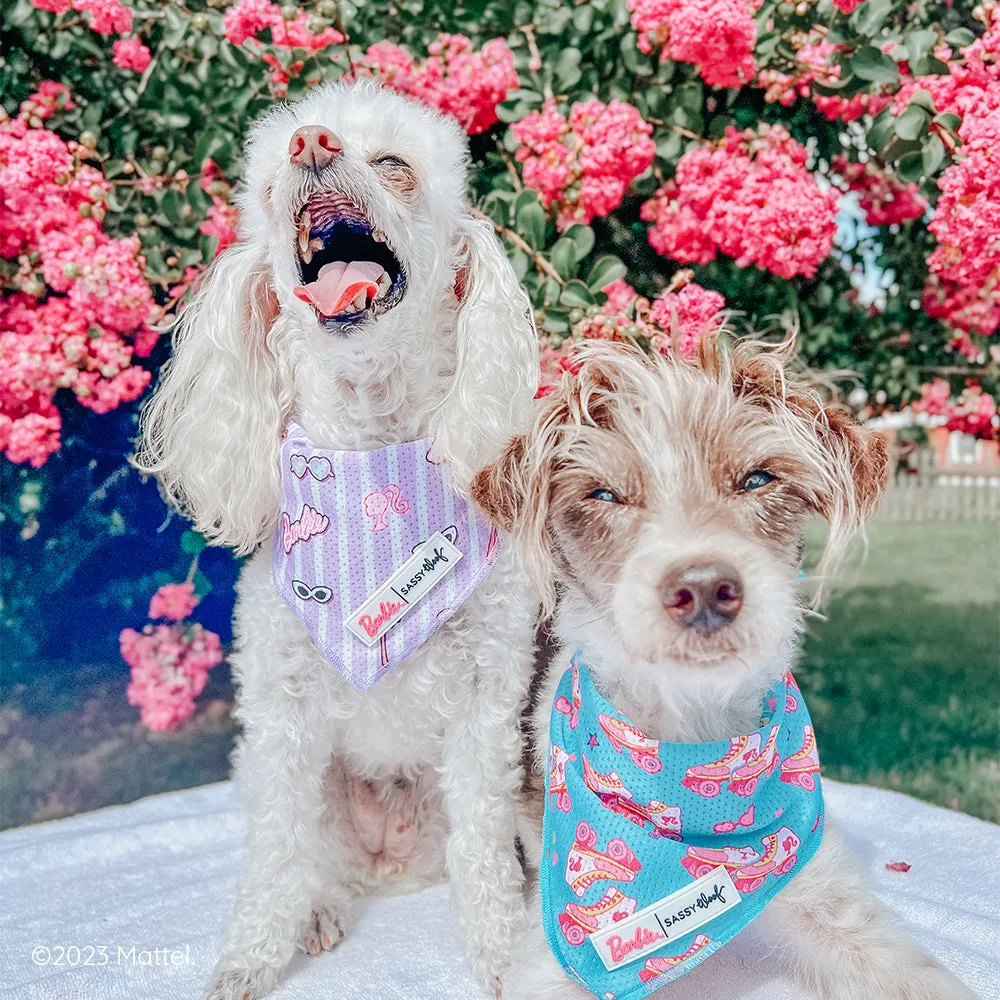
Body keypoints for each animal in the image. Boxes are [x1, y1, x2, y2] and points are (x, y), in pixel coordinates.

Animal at [137, 84, 540, 1000]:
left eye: (395, 165)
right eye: (266, 186)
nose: (311, 144)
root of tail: (386, 862)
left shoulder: (484, 713)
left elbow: (486, 856)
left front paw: (506, 956)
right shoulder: (282, 716)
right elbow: (276, 854)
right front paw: (250, 959)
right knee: (313, 858)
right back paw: (319, 909)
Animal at [472, 338, 972, 1000]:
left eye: (758, 478)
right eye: (603, 494)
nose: (705, 588)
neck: (688, 730)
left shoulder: (829, 896)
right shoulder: (558, 963)